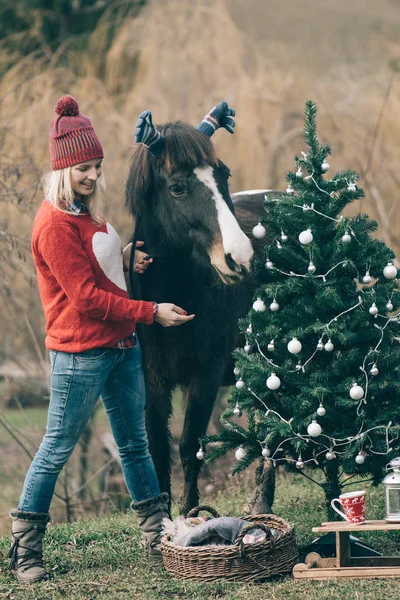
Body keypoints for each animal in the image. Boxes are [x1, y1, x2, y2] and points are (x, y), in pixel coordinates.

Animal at [126, 119, 268, 512]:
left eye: (224, 175)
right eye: (177, 187)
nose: (240, 258)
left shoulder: (205, 375)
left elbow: (191, 447)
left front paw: (191, 515)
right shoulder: (151, 381)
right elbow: (158, 450)